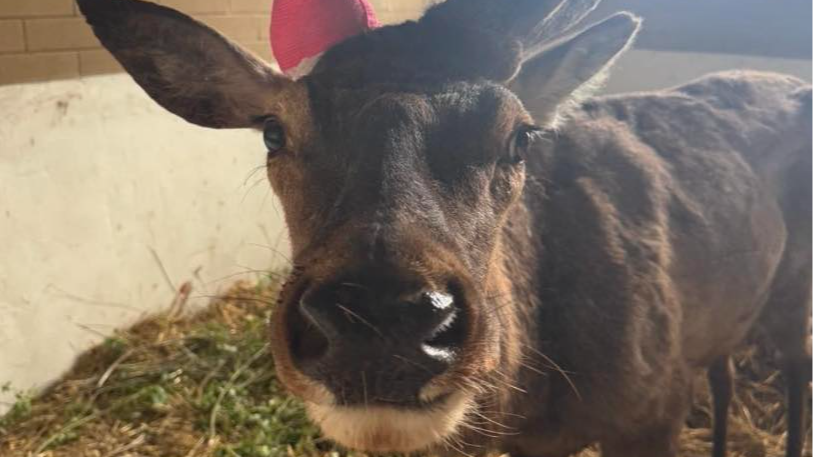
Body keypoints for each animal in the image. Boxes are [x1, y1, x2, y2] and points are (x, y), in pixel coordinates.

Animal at [76, 0, 813, 456]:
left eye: (519, 137)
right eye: (273, 131)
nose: (378, 320)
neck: (534, 401)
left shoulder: (653, 407)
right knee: (724, 370)